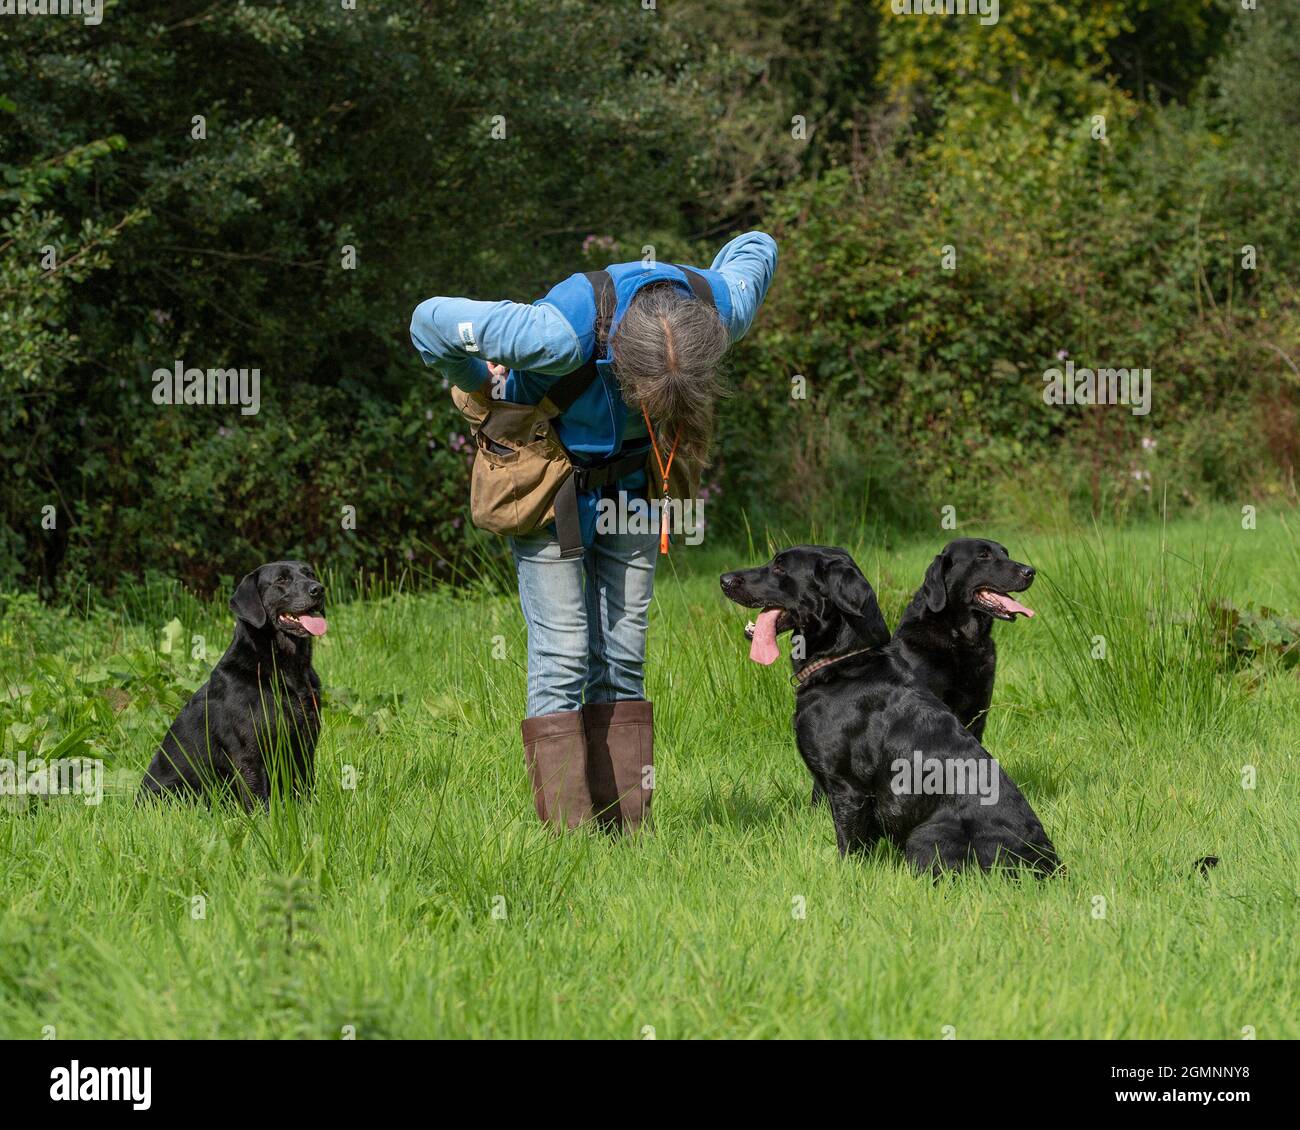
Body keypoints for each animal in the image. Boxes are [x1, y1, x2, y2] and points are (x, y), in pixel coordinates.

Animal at [137, 559, 325, 806]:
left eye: (309, 573)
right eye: (281, 579)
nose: (318, 589)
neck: (286, 671)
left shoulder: (305, 746)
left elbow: (305, 789)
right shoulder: (249, 754)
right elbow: (259, 801)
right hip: (180, 790)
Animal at [717, 543, 1060, 879]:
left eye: (779, 567)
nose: (724, 579)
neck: (845, 663)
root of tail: (1047, 864)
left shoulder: (848, 789)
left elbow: (848, 847)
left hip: (926, 834)